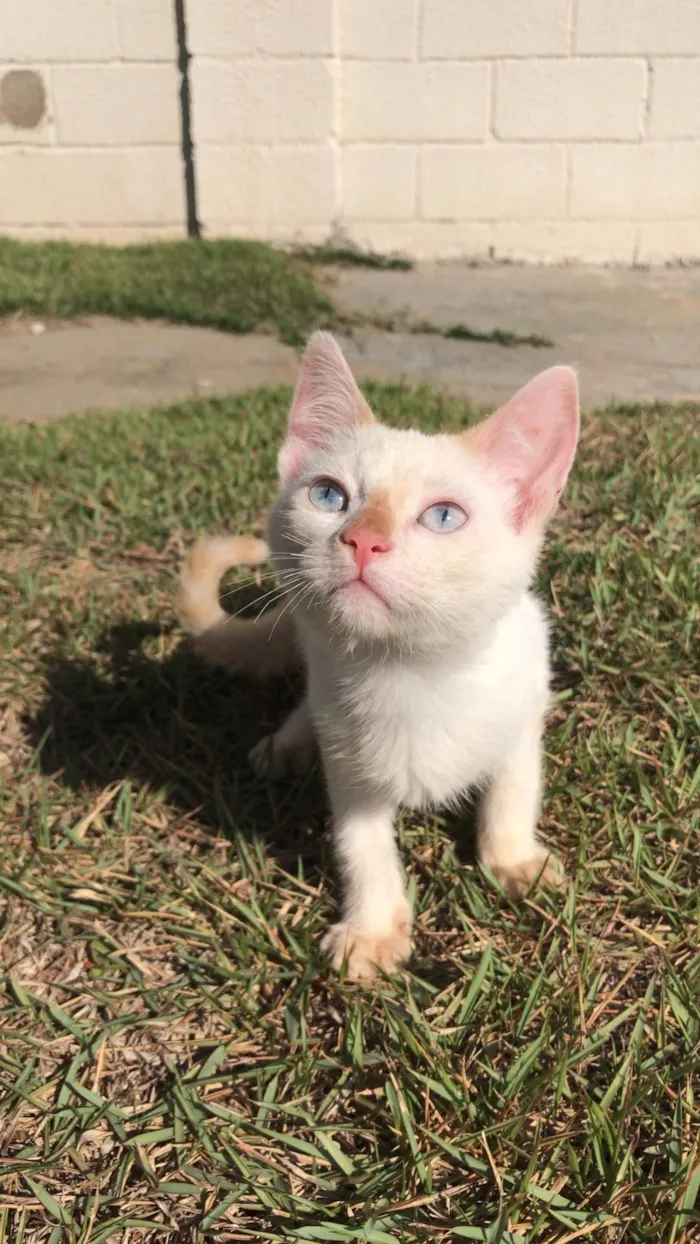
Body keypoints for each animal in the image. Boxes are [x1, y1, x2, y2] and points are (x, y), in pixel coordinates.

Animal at [180, 330, 581, 980]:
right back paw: (286, 743)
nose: (363, 539)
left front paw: (514, 860)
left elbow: (514, 789)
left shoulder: (524, 700)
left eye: (443, 516)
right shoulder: (347, 758)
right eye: (328, 495)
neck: (411, 673)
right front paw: (371, 929)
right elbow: (359, 843)